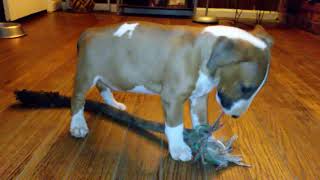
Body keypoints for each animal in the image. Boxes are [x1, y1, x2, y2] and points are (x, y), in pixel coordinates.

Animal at [69, 21, 272, 161]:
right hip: (86, 75)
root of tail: (88, 32)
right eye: (245, 88)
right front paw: (179, 148)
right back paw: (78, 125)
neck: (204, 52)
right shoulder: (172, 98)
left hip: (108, 74)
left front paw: (207, 141)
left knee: (103, 87)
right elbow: (175, 125)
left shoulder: (199, 99)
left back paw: (114, 105)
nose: (236, 116)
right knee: (78, 99)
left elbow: (202, 123)